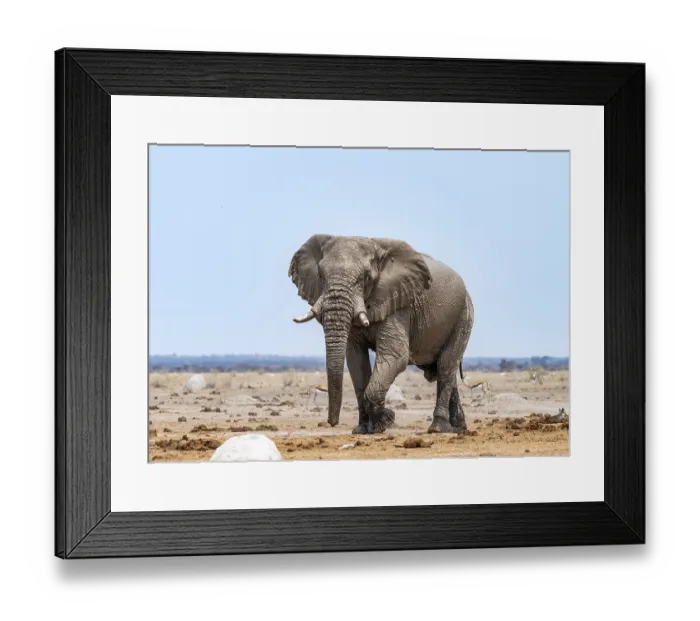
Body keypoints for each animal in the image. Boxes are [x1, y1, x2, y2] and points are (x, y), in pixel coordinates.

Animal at [288, 234, 474, 434]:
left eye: (365, 277)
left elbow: (395, 356)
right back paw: (458, 428)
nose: (332, 423)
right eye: (321, 275)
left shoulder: (398, 304)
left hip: (463, 316)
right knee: (445, 369)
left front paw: (384, 423)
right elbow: (356, 360)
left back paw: (438, 429)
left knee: (445, 365)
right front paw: (362, 429)